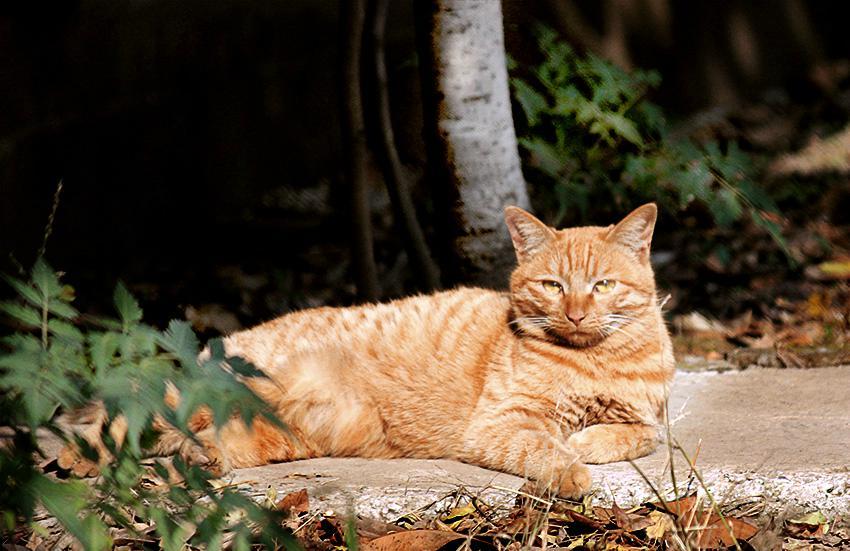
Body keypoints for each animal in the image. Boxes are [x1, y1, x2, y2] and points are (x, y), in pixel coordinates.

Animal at [61, 204, 668, 500]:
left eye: (603, 285)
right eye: (552, 285)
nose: (577, 314)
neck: (593, 359)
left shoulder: (647, 420)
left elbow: (632, 436)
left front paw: (586, 443)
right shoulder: (500, 423)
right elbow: (543, 447)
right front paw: (570, 468)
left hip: (281, 434)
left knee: (202, 439)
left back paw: (198, 457)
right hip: (227, 388)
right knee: (130, 415)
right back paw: (74, 457)